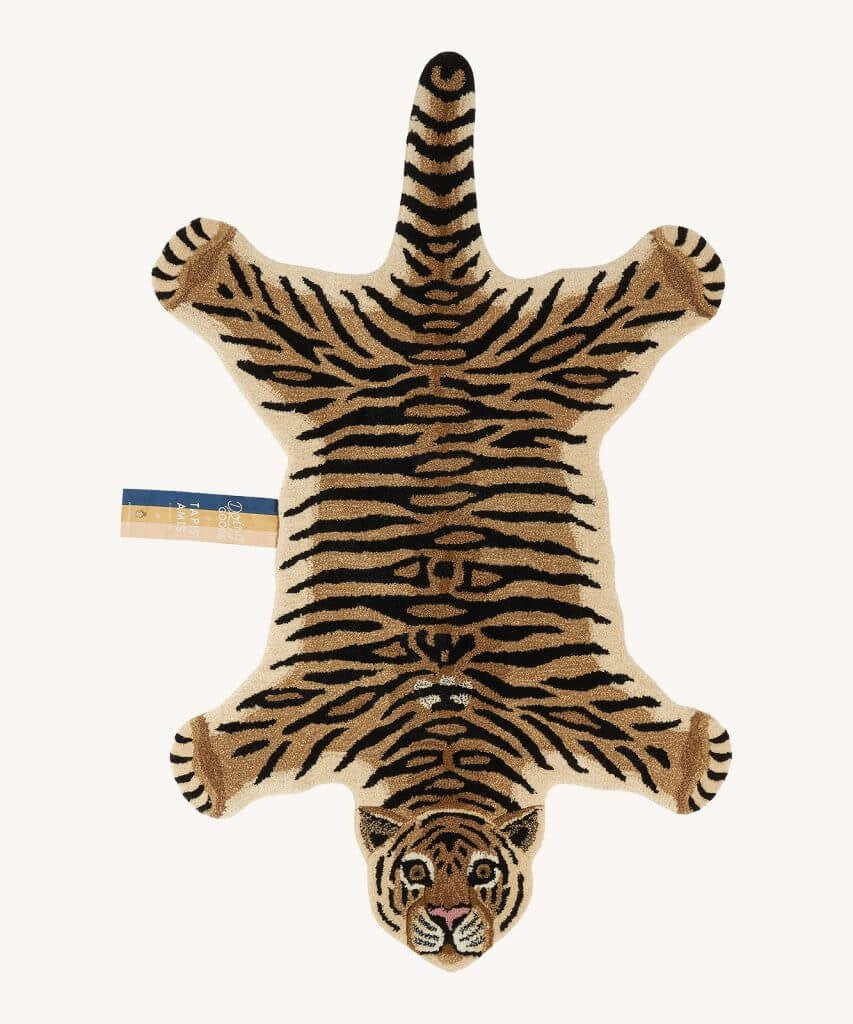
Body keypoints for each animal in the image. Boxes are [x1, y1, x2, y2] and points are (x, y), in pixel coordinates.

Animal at [152, 51, 731, 969]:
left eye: (485, 875)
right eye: (417, 874)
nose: (454, 920)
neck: (447, 736)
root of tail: (439, 309)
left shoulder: (574, 703)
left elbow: (663, 757)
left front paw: (693, 755)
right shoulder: (317, 704)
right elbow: (229, 757)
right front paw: (202, 759)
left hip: (556, 346)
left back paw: (676, 269)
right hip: (319, 350)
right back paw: (201, 261)